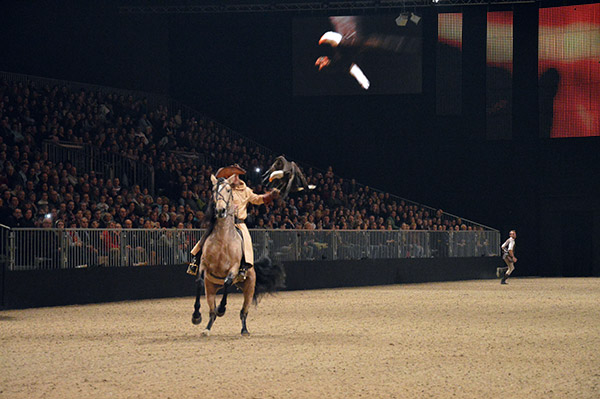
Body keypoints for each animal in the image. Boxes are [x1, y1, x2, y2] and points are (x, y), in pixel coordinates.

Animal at [192, 175, 286, 338]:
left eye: (228, 190)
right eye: (213, 190)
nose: (220, 210)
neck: (222, 239)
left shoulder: (234, 268)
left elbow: (227, 282)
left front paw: (222, 308)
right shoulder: (204, 265)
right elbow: (198, 281)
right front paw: (196, 316)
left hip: (249, 288)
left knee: (243, 312)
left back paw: (244, 330)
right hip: (211, 288)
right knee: (212, 312)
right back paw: (207, 328)